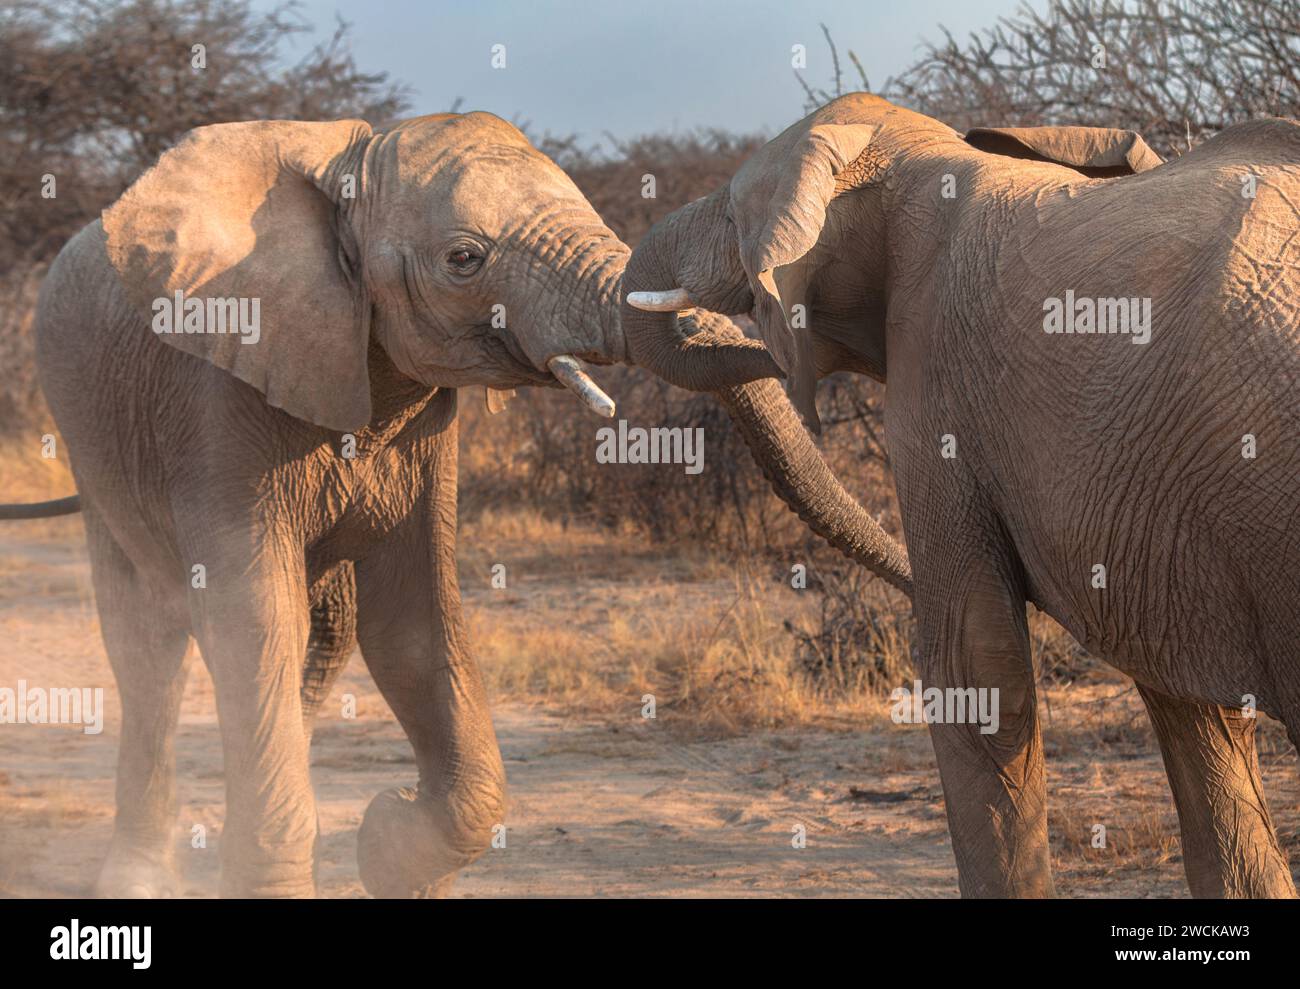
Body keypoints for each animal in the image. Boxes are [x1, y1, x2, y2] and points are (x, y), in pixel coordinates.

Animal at [0, 111, 764, 899]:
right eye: (464, 259)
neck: (348, 172)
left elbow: (415, 622)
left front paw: (388, 842)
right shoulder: (218, 399)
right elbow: (255, 620)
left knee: (324, 630)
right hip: (92, 440)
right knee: (147, 639)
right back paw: (139, 878)